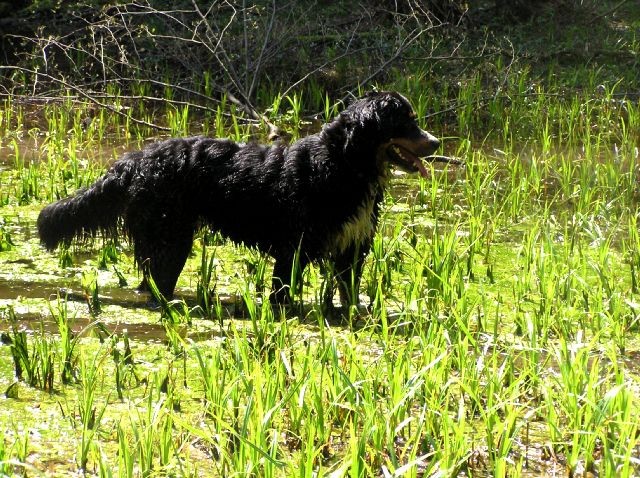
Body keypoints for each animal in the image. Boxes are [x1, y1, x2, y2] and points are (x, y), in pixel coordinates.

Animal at [38, 90, 440, 306]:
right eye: (405, 121)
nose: (435, 142)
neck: (344, 165)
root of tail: (137, 159)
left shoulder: (351, 249)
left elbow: (349, 294)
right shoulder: (293, 249)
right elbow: (282, 294)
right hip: (171, 239)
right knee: (157, 283)